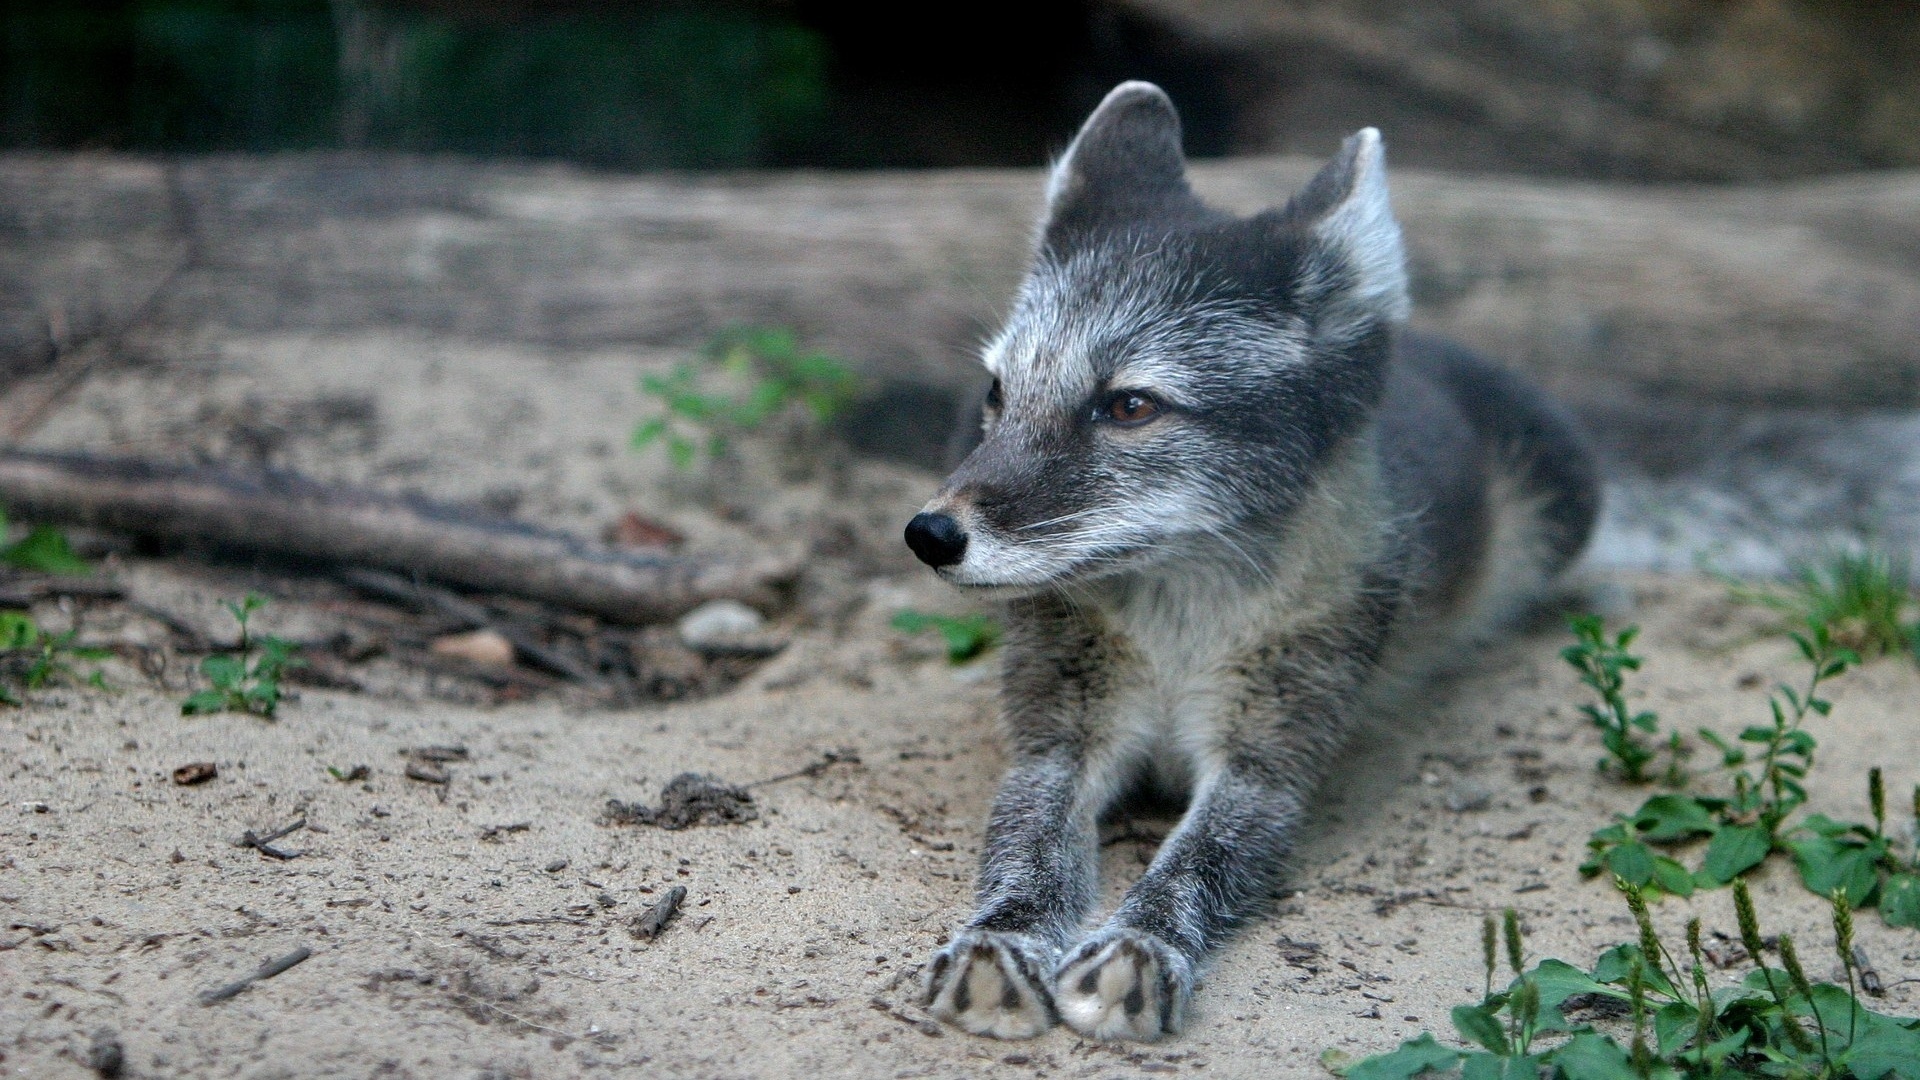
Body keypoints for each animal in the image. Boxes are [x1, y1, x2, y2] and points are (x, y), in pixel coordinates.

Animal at [902, 79, 1605, 1037]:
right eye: (998, 393)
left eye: (1130, 406)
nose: (929, 535)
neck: (1178, 631)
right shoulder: (1055, 742)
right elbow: (1026, 846)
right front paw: (1002, 938)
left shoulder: (1271, 764)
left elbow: (1197, 861)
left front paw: (1141, 945)